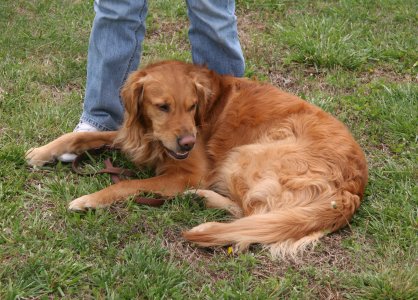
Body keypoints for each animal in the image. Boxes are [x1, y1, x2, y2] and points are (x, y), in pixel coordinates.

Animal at [26, 60, 368, 255]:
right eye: (163, 106)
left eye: (192, 107)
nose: (189, 142)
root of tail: (352, 189)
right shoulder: (133, 137)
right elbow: (82, 137)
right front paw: (43, 152)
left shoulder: (188, 172)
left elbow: (126, 185)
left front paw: (90, 200)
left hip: (244, 156)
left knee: (251, 217)